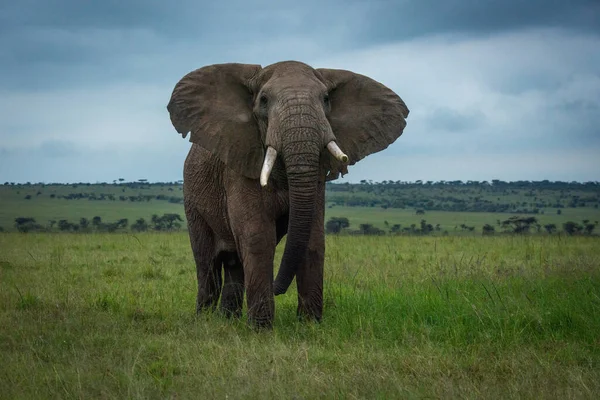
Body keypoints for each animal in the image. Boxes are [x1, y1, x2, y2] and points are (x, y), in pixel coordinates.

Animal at [165, 59, 408, 328]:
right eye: (264, 100)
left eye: (326, 99)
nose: (276, 288)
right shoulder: (241, 164)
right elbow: (258, 237)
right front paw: (261, 330)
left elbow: (312, 240)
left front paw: (310, 326)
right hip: (192, 200)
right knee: (207, 265)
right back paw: (205, 321)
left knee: (234, 264)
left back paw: (228, 322)